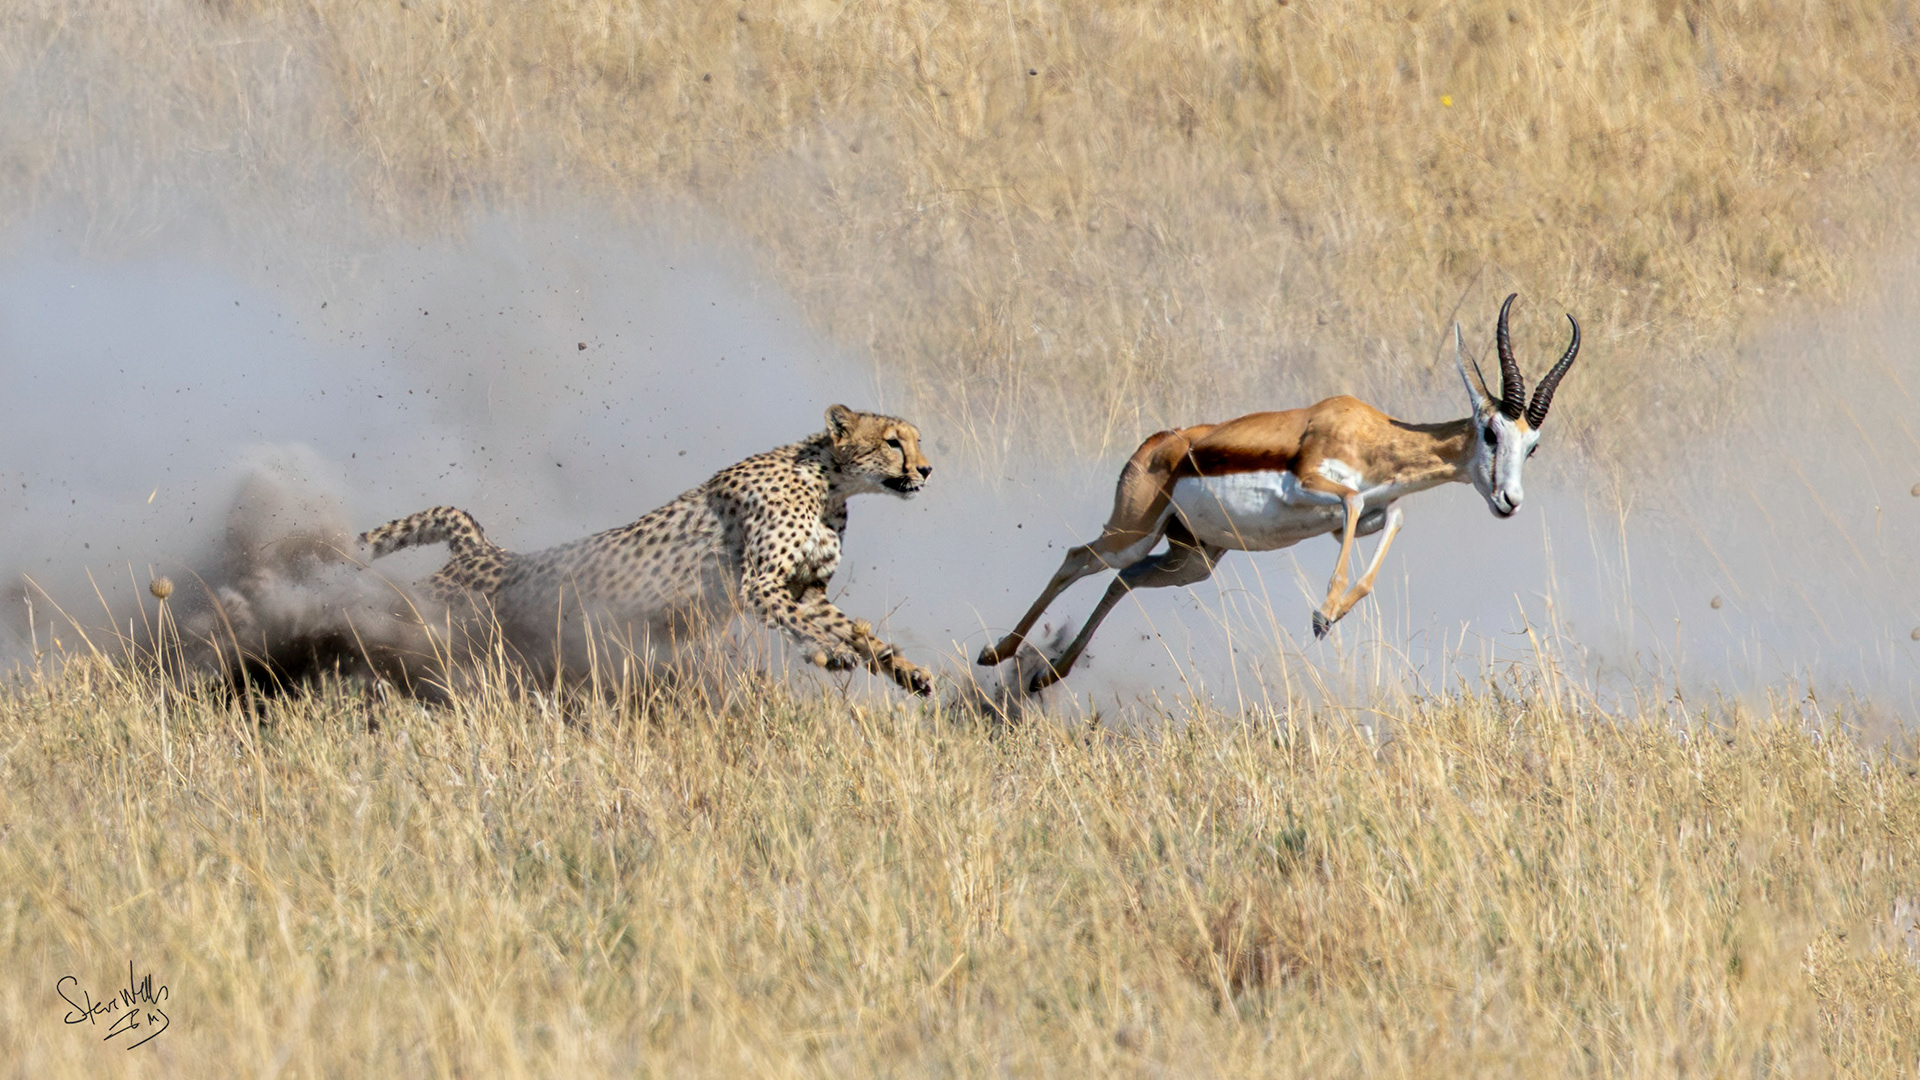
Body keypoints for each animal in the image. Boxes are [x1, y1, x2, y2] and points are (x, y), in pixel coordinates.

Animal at [357, 404, 936, 695]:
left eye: (916, 439)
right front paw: (829, 651)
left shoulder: (807, 589)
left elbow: (859, 632)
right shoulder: (761, 583)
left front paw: (907, 672)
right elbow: (810, 627)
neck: (830, 483)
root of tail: (482, 549)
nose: (927, 469)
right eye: (893, 441)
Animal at [977, 293, 1582, 692]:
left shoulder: (1359, 520)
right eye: (1492, 432)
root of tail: (1158, 444)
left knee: (1122, 579)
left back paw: (1049, 676)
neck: (1370, 433)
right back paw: (995, 653)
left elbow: (1391, 519)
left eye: (1533, 447)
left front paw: (1332, 614)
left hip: (1193, 559)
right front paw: (1321, 614)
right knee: (1077, 559)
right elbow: (1354, 498)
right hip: (1132, 530)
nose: (1509, 501)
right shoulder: (1311, 485)